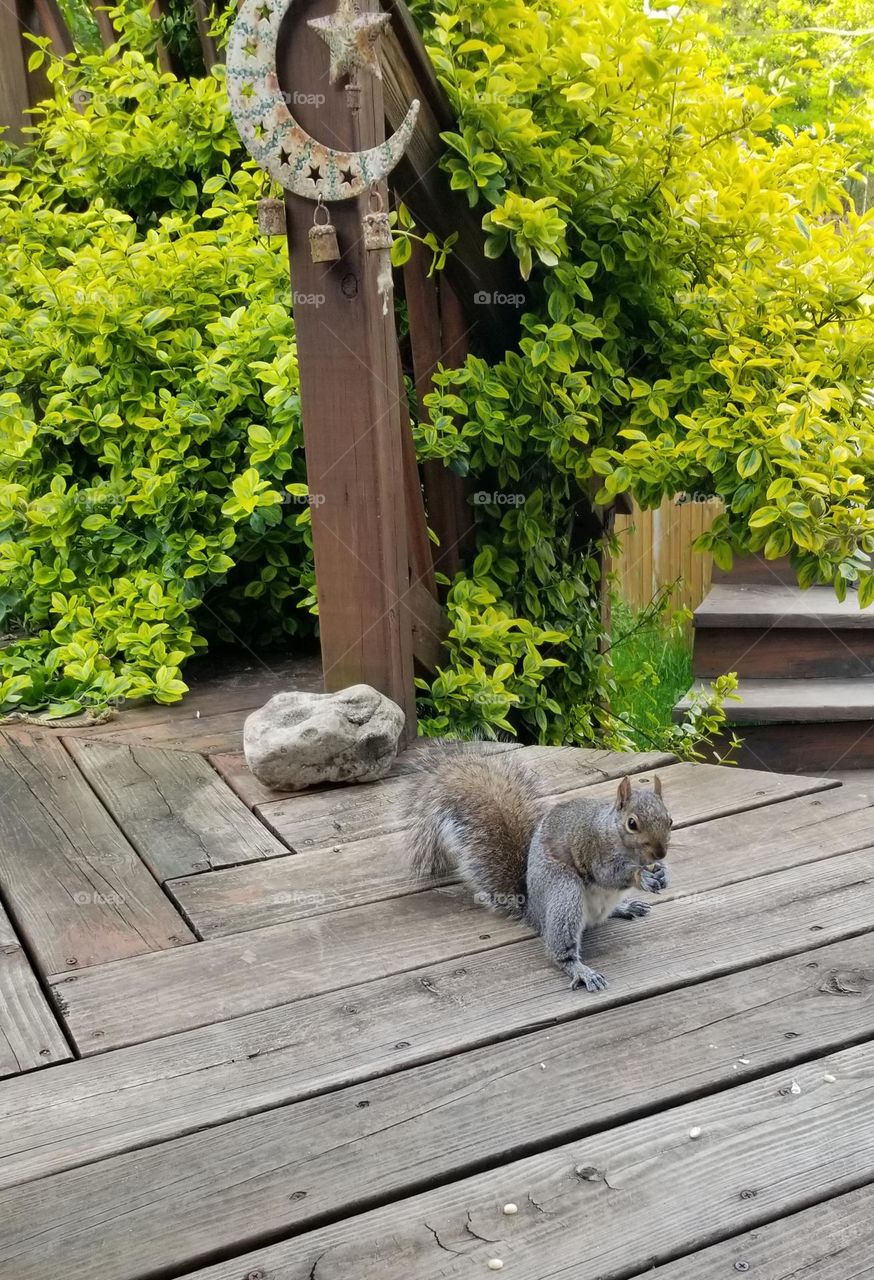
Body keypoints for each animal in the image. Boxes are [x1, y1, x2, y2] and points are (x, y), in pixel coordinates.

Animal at [406, 746, 672, 992]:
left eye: (669, 820)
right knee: (560, 949)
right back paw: (580, 970)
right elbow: (609, 875)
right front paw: (642, 876)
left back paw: (625, 907)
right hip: (564, 892)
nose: (660, 853)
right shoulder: (595, 851)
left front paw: (662, 871)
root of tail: (533, 911)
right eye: (632, 824)